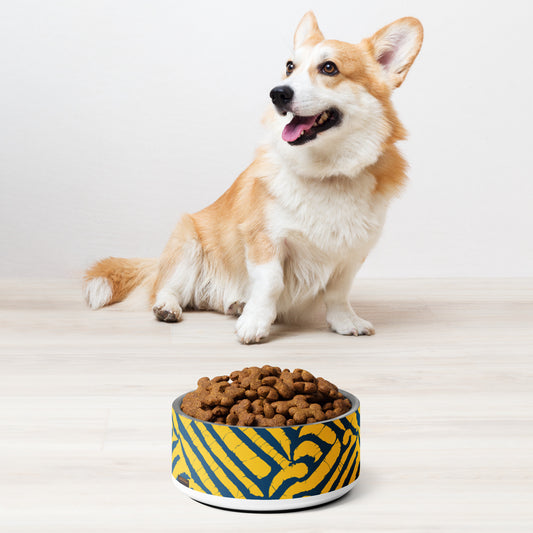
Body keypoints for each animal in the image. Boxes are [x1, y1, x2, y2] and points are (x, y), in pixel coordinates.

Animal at [85, 13, 422, 344]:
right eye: (289, 67)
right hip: (188, 245)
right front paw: (256, 323)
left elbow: (338, 294)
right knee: (167, 288)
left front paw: (345, 322)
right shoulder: (265, 239)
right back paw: (170, 307)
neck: (326, 172)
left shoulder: (351, 255)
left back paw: (235, 304)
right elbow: (271, 283)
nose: (278, 93)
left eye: (329, 68)